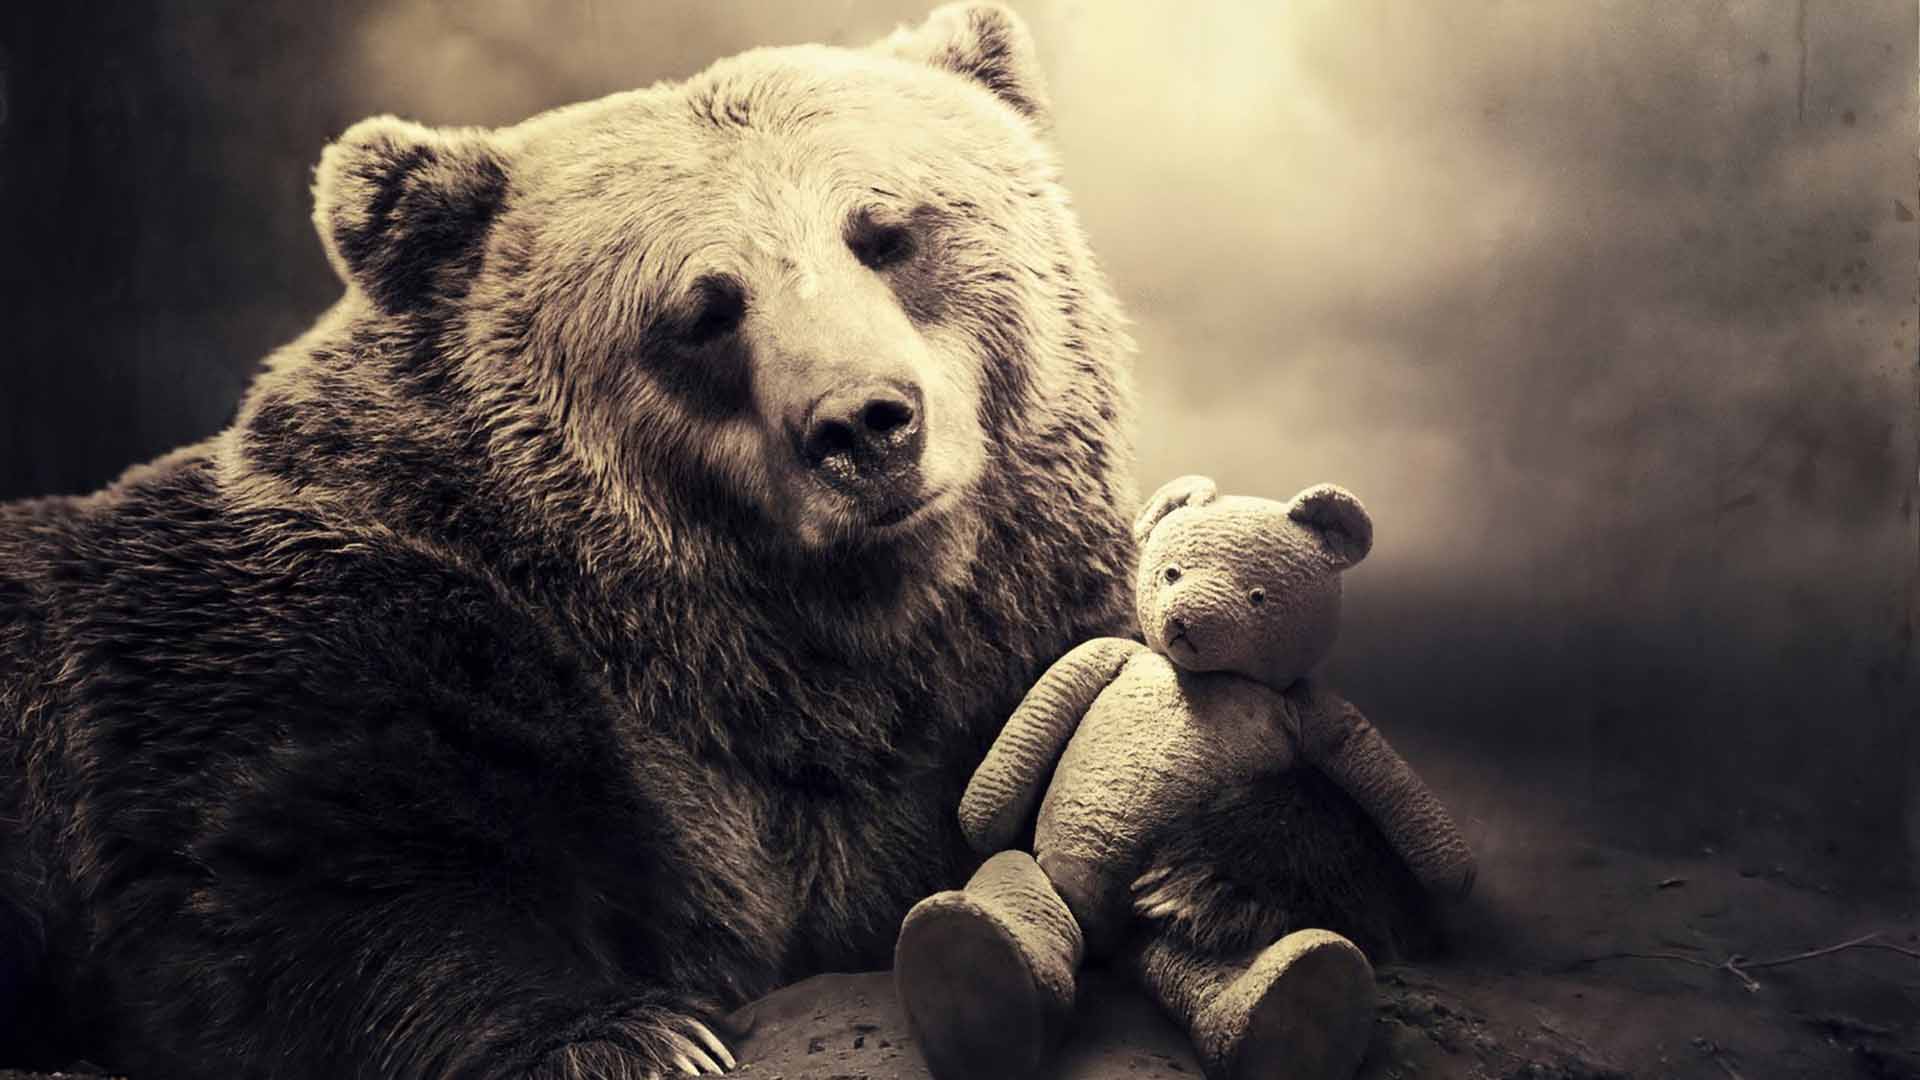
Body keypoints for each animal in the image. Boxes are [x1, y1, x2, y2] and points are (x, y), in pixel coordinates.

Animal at [0, 6, 1141, 1078]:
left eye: (888, 230)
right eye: (703, 308)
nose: (862, 423)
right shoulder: (322, 636)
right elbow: (313, 875)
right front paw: (638, 1036)